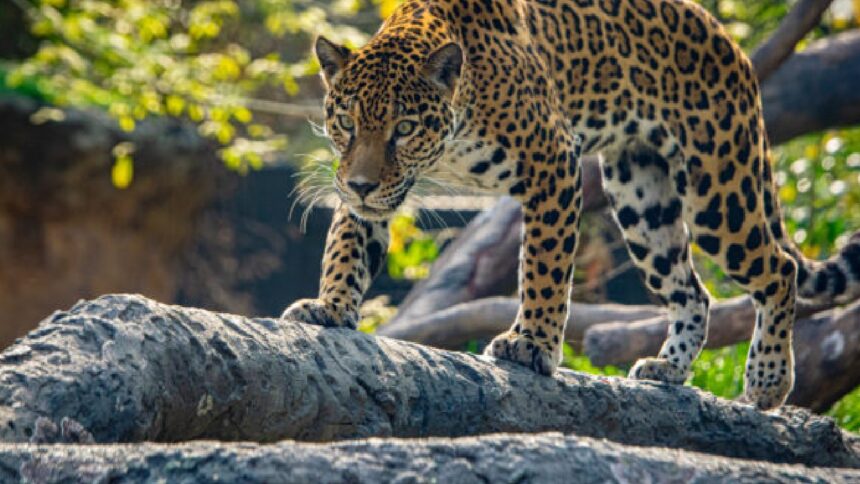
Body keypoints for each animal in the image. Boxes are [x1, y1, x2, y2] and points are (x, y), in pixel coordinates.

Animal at [281, 0, 860, 409]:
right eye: (346, 123)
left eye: (403, 128)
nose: (360, 185)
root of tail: (731, 42)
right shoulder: (366, 186)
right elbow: (347, 248)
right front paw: (330, 308)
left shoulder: (553, 161)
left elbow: (543, 268)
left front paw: (531, 345)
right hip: (642, 199)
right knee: (693, 291)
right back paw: (669, 370)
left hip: (720, 188)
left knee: (778, 269)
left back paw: (767, 381)